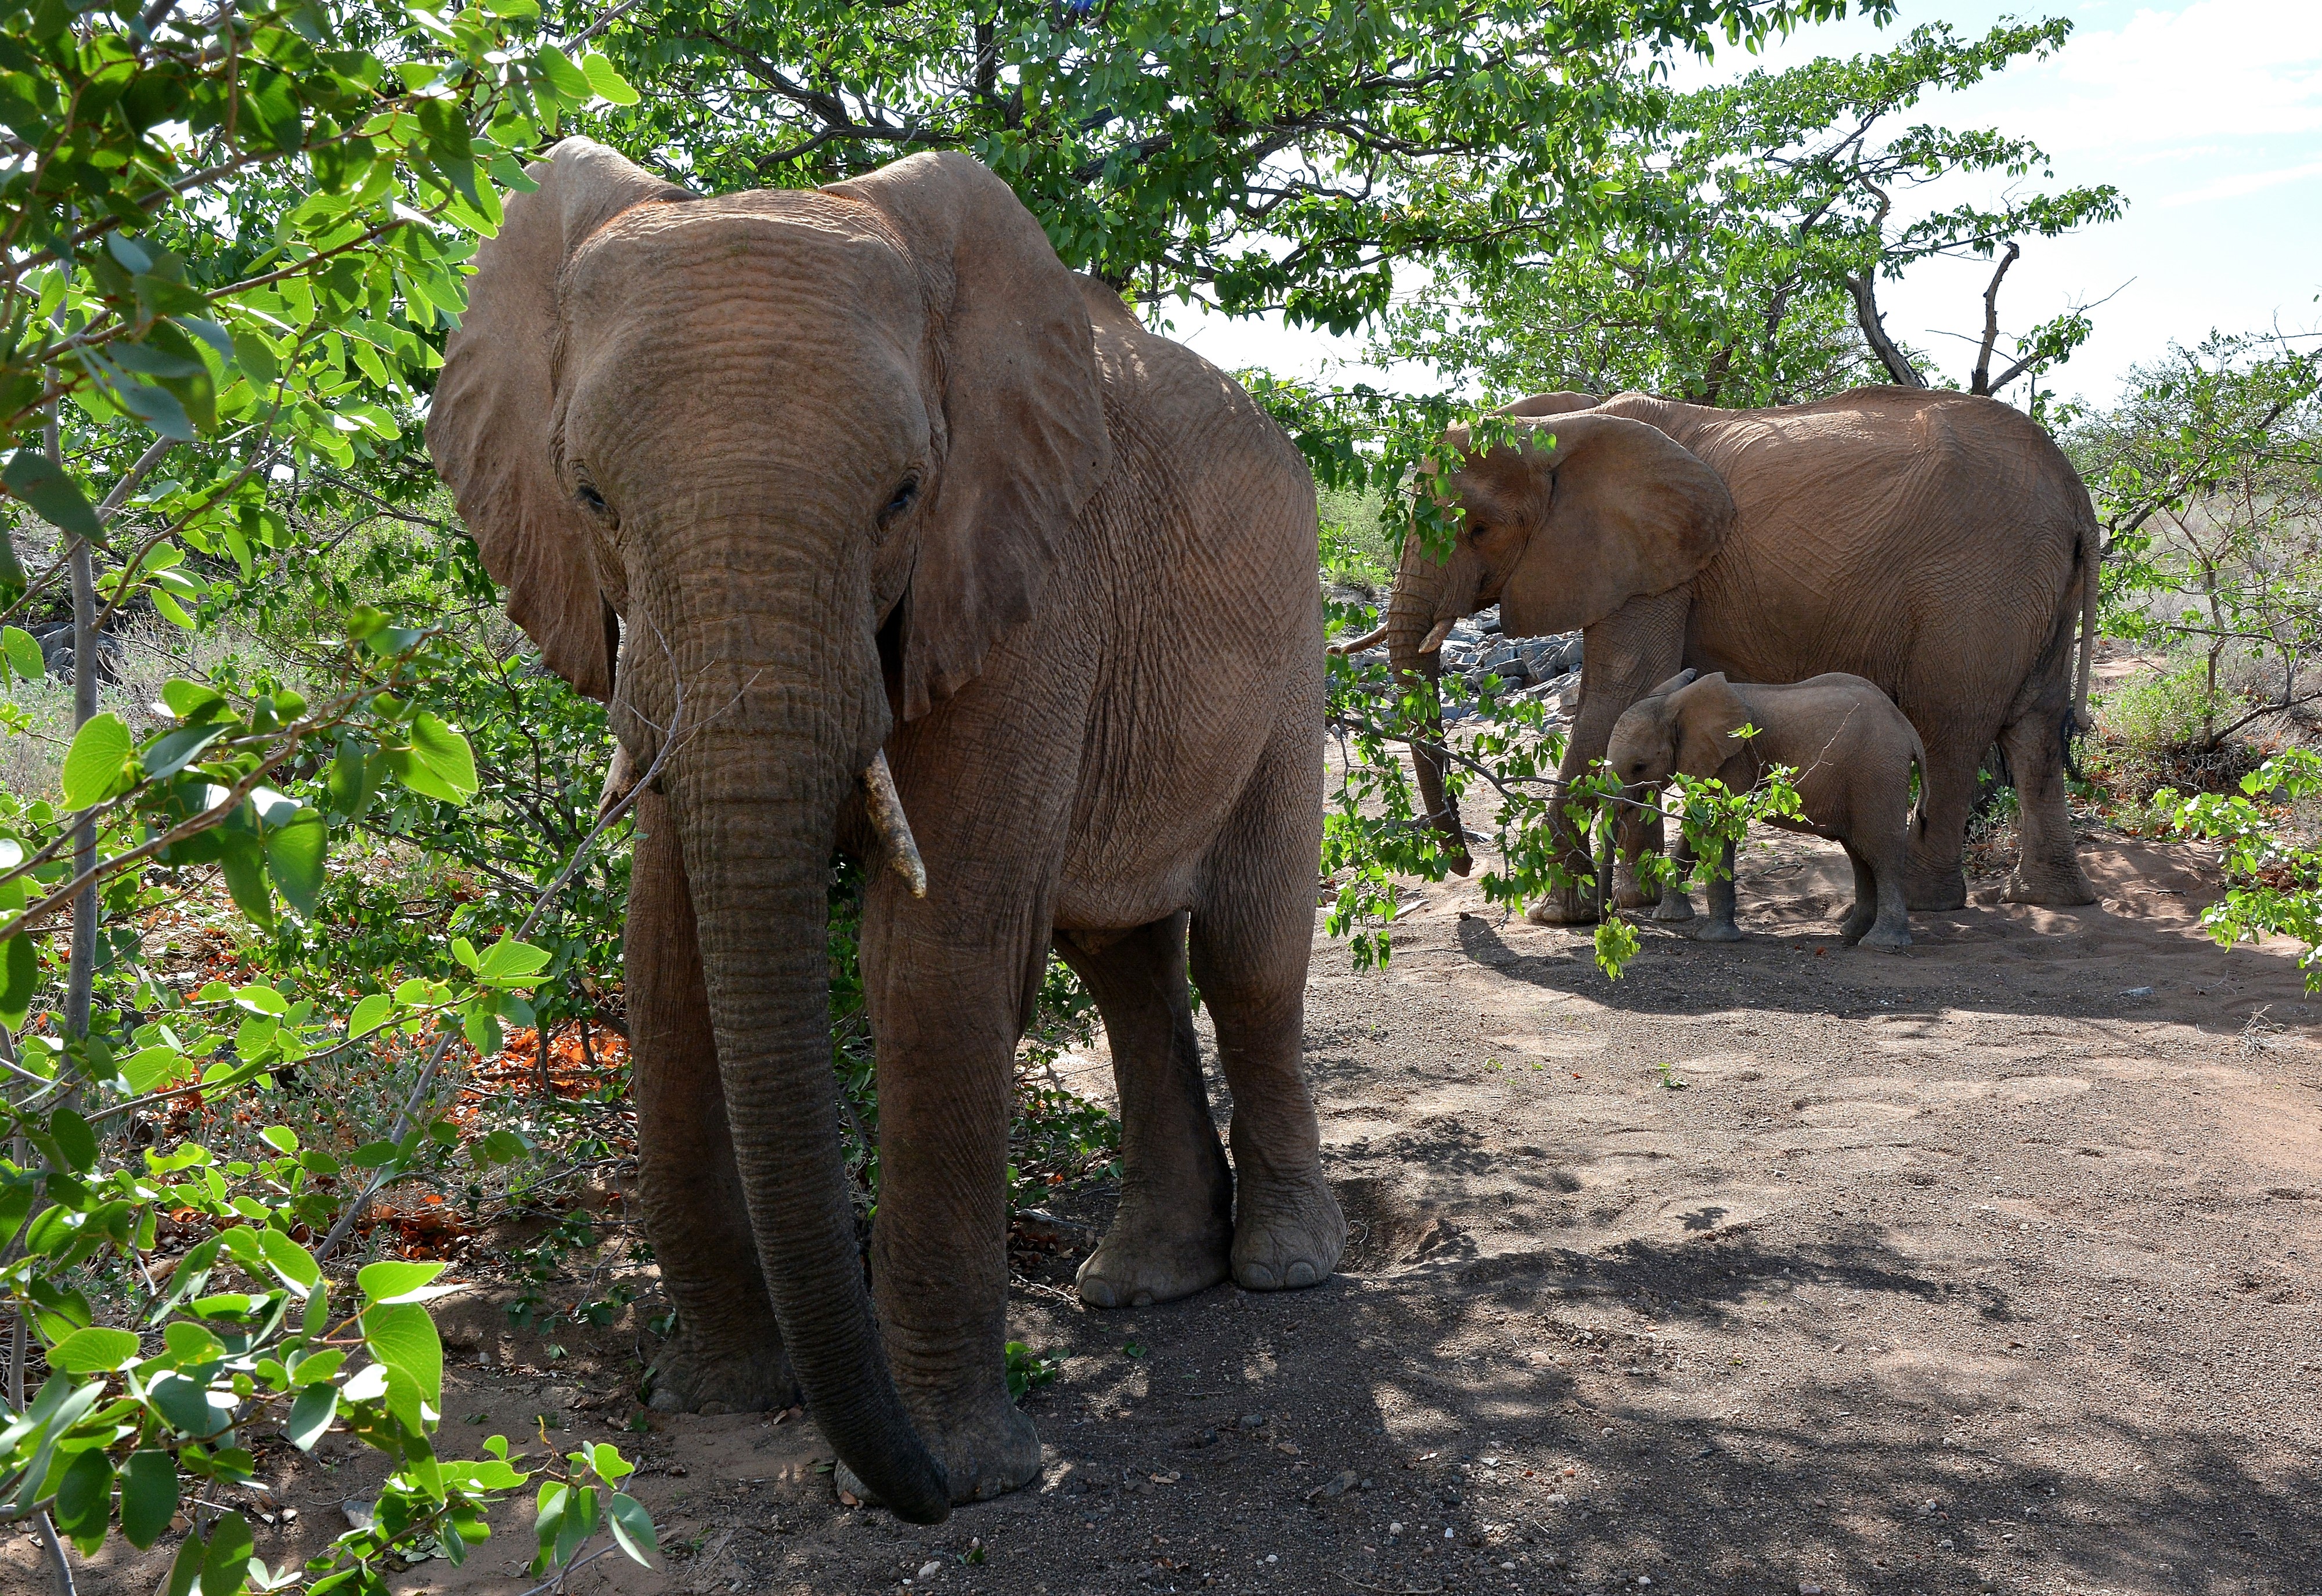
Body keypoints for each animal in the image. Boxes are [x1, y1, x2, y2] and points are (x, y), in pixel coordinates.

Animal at [427, 139, 1343, 1520]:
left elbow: (930, 963)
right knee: (1120, 958)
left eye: (904, 495)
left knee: (1243, 954)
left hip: (1291, 647)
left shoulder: (1026, 576)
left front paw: (959, 1476)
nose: (903, 1487)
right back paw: (1141, 1285)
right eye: (587, 495)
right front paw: (719, 1398)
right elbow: (671, 960)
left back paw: (1285, 1269)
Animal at [1382, 388, 2101, 921]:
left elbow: (1618, 689)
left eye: (1480, 528)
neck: (1557, 427)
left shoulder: (1654, 562)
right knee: (2035, 730)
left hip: (1978, 587)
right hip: (2035, 585)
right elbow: (1644, 693)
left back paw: (1928, 902)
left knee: (1950, 723)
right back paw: (2048, 898)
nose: (1462, 865)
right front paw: (1636, 902)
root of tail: (2076, 493)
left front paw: (1563, 916)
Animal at [1605, 668, 1928, 950]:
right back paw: (1851, 932)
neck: (1675, 702)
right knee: (1859, 854)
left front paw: (1714, 939)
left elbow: (1717, 829)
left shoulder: (1733, 760)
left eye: (1639, 767)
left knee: (1881, 852)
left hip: (1877, 775)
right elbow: (1697, 827)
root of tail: (1908, 729)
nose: (1608, 914)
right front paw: (1669, 919)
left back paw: (1882, 944)